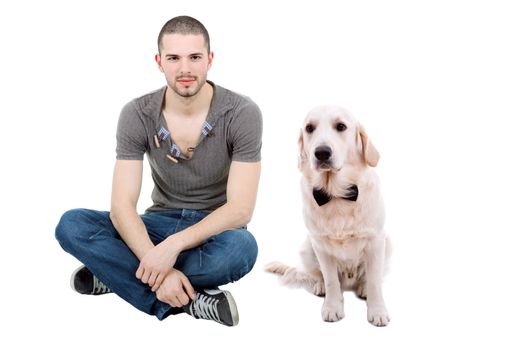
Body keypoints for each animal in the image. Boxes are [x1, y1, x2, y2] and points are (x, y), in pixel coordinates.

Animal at [266, 105, 388, 326]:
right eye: (309, 128)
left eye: (341, 126)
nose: (322, 153)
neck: (336, 194)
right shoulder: (321, 245)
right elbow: (331, 280)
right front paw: (332, 307)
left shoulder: (376, 240)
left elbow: (375, 281)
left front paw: (377, 311)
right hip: (308, 247)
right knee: (320, 275)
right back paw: (320, 286)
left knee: (367, 277)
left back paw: (363, 287)